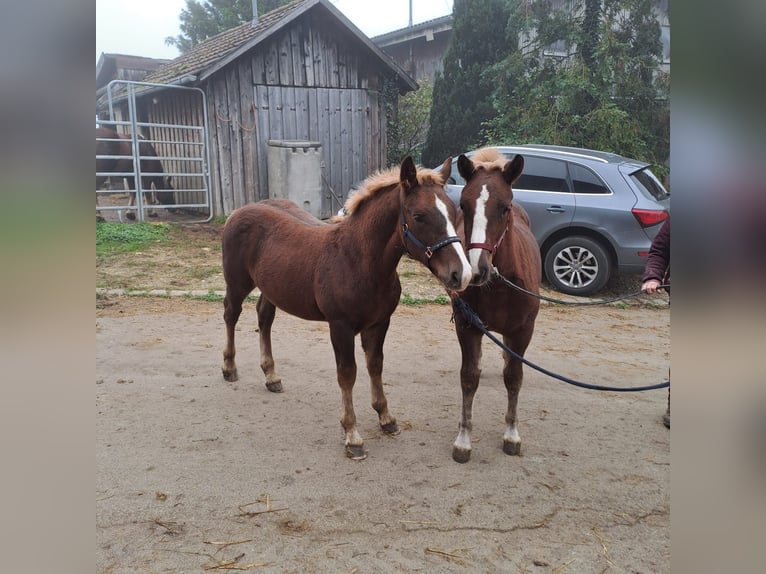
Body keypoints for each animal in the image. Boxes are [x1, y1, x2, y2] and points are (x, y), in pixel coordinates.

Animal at [222, 155, 474, 462]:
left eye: (454, 211)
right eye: (419, 216)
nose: (461, 274)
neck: (358, 260)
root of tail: (239, 211)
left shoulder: (380, 322)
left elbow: (375, 365)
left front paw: (386, 418)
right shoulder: (339, 326)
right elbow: (347, 374)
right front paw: (352, 435)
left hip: (271, 287)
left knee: (264, 318)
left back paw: (271, 376)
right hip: (237, 283)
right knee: (231, 314)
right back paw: (229, 367)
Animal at [452, 147, 544, 464]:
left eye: (505, 207)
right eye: (463, 205)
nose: (477, 270)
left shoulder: (523, 331)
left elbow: (514, 378)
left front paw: (512, 434)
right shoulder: (467, 326)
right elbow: (469, 377)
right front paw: (464, 440)